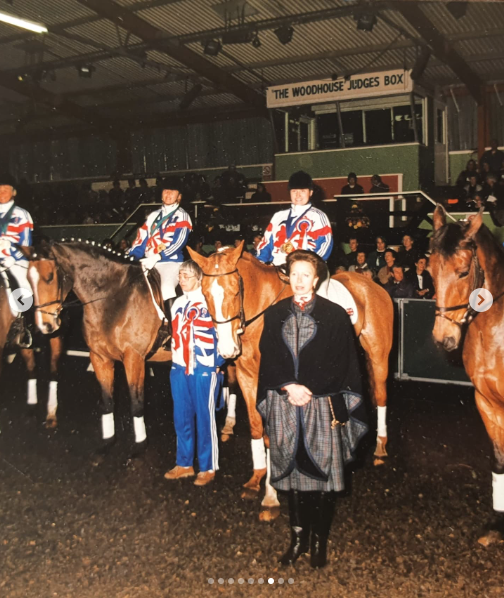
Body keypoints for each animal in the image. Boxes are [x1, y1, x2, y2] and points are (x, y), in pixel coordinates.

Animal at [21, 241, 171, 452]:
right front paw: (108, 440)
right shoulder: (99, 357)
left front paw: (140, 445)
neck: (114, 297)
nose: (45, 326)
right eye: (28, 278)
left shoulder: (134, 358)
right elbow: (107, 400)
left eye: (50, 277)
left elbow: (136, 403)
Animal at [188, 241, 394, 524]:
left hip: (378, 354)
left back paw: (380, 447)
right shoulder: (246, 376)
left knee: (382, 395)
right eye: (205, 293)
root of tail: (371, 284)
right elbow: (257, 427)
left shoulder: (274, 383)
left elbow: (273, 434)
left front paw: (271, 496)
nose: (228, 349)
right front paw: (257, 477)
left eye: (234, 291)